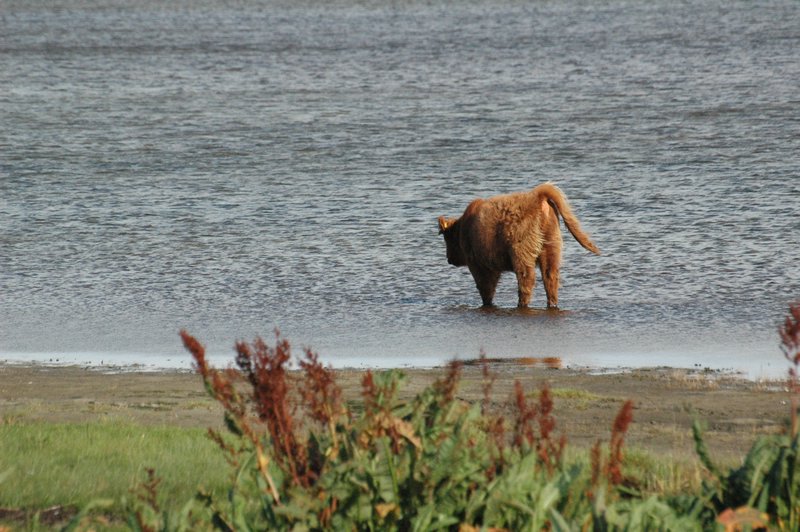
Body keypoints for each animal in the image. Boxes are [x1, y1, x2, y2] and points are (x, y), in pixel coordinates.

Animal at [438, 182, 600, 308]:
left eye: (447, 239)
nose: (449, 259)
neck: (463, 229)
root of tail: (537, 196)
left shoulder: (478, 263)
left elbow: (485, 286)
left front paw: (487, 303)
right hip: (551, 244)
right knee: (550, 276)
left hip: (521, 248)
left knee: (526, 278)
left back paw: (521, 303)